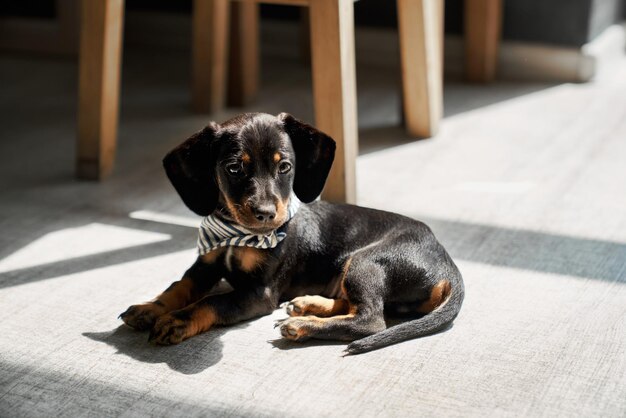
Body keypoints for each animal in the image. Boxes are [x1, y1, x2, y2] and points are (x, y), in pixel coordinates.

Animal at [119, 112, 460, 354]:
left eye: (284, 167)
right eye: (233, 168)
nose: (266, 214)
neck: (236, 234)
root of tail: (449, 268)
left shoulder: (260, 293)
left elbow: (212, 302)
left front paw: (176, 320)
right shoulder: (206, 264)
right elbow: (178, 287)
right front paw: (151, 308)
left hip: (368, 261)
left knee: (371, 319)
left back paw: (303, 324)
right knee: (356, 306)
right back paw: (309, 304)